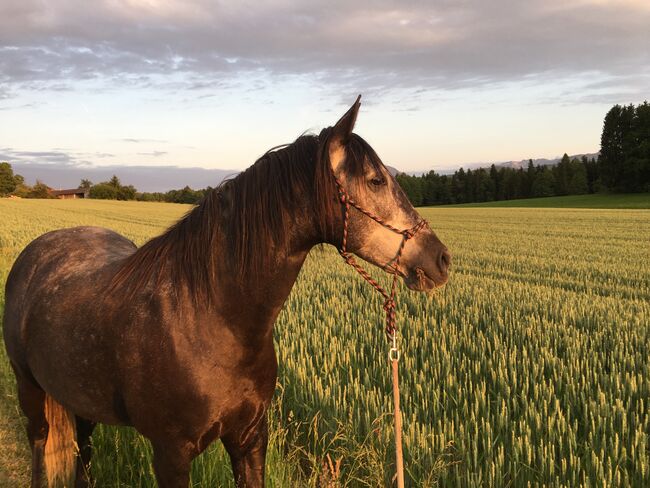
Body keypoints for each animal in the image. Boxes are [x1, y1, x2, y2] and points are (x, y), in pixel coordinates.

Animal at [2, 97, 448, 486]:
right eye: (375, 180)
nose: (441, 259)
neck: (213, 318)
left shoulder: (249, 437)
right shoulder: (171, 454)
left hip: (79, 400)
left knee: (84, 452)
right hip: (31, 393)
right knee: (41, 446)